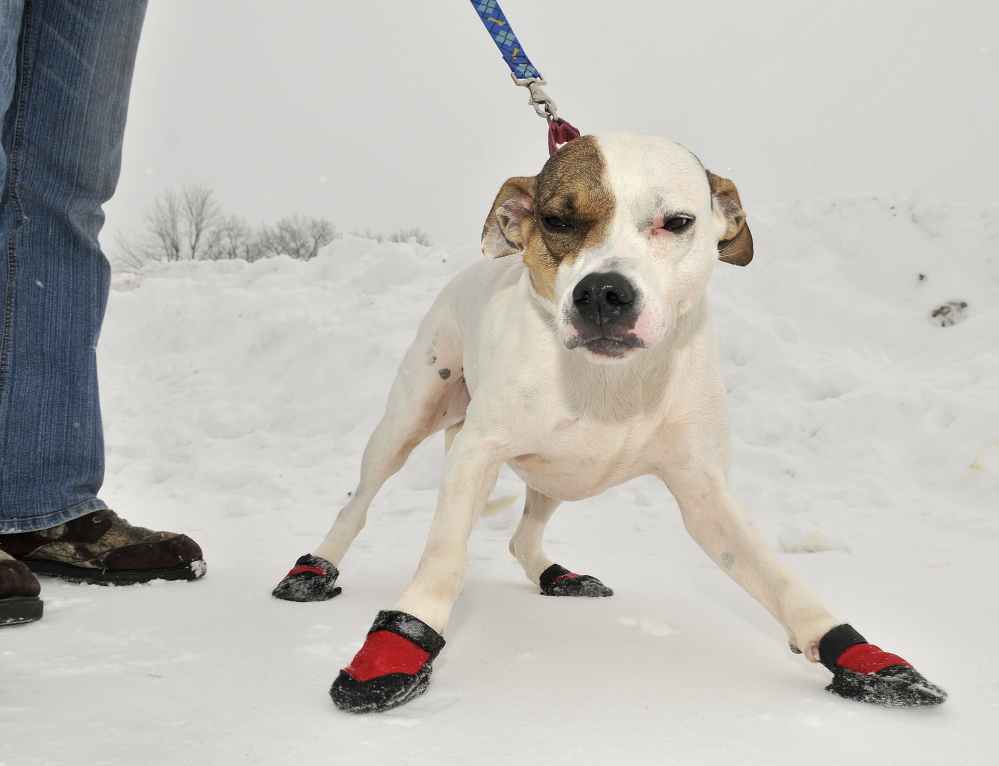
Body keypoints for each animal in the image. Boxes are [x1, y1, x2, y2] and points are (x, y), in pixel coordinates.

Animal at [272, 132, 944, 712]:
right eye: (557, 221)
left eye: (677, 222)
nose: (602, 293)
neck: (612, 384)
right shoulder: (475, 455)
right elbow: (444, 555)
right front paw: (399, 646)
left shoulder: (704, 491)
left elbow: (774, 576)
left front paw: (854, 653)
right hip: (407, 420)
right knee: (357, 504)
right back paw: (314, 572)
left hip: (556, 475)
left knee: (522, 536)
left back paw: (556, 576)